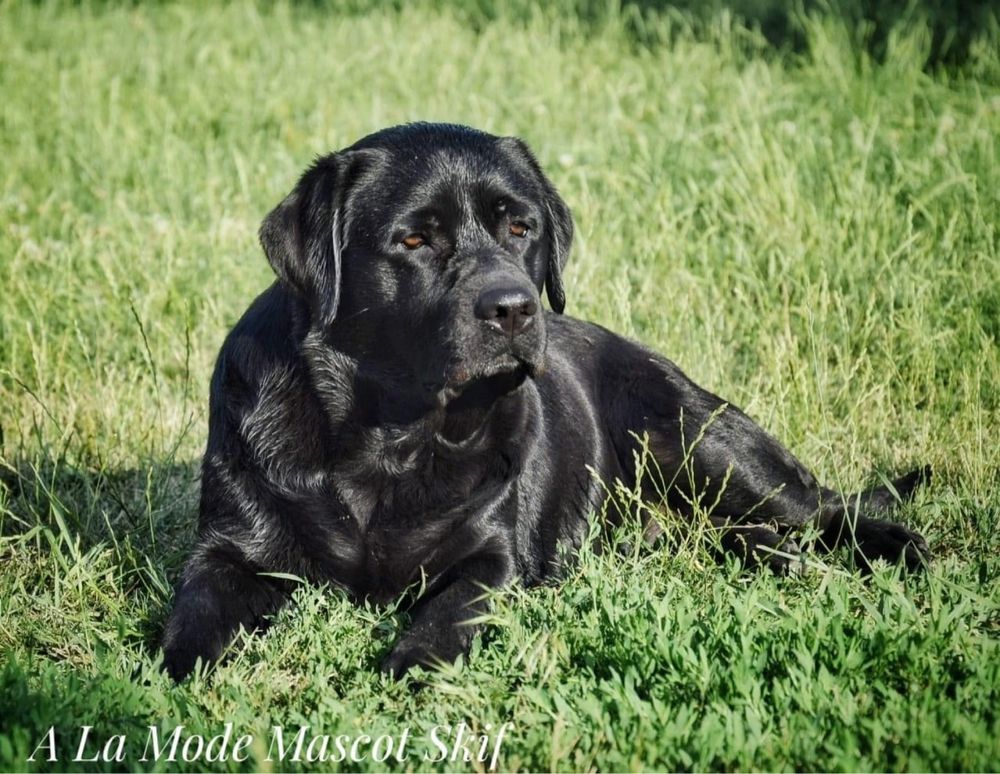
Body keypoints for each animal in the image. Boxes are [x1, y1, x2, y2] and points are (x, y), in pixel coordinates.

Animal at [160, 124, 924, 684]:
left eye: (520, 228)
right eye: (415, 239)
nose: (513, 308)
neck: (389, 438)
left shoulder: (492, 558)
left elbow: (449, 614)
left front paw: (410, 665)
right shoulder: (228, 549)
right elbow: (192, 616)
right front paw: (177, 676)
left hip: (698, 439)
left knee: (821, 505)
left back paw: (895, 547)